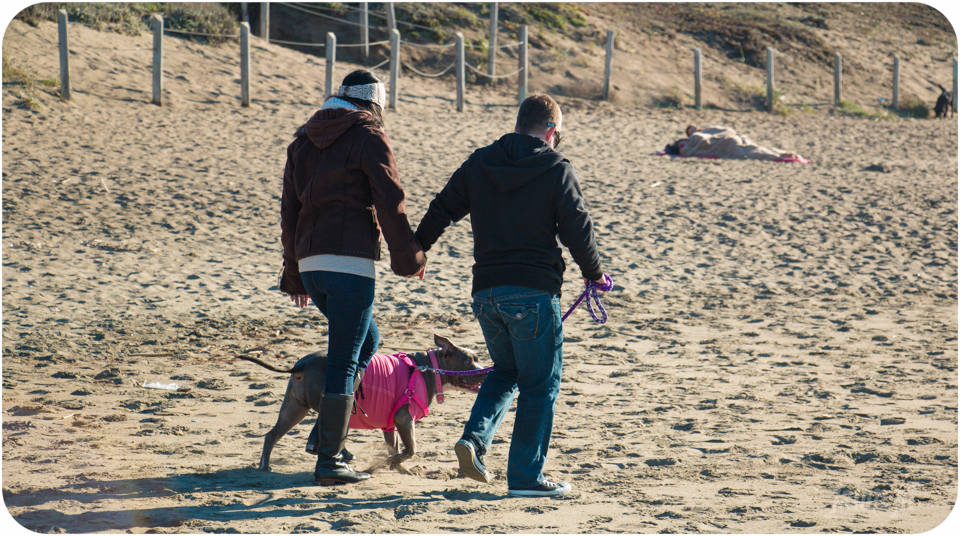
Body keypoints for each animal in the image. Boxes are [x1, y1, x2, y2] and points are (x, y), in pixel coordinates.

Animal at [233, 336, 488, 474]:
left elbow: (395, 448)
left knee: (272, 435)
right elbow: (410, 449)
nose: (486, 371)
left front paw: (399, 468)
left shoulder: (391, 424)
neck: (427, 367)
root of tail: (301, 364)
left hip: (293, 408)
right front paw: (383, 465)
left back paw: (265, 466)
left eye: (477, 358)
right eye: (468, 361)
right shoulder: (404, 419)